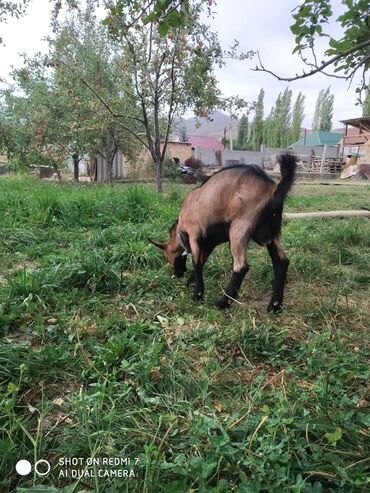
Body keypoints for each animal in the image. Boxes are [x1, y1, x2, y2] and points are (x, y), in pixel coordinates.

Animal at [150, 153, 298, 312]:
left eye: (166, 257)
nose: (176, 274)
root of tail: (273, 189)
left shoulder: (194, 233)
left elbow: (196, 262)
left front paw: (198, 294)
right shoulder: (209, 242)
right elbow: (202, 259)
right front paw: (191, 282)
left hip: (239, 229)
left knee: (241, 267)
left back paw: (223, 302)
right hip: (272, 233)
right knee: (281, 262)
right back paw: (274, 305)